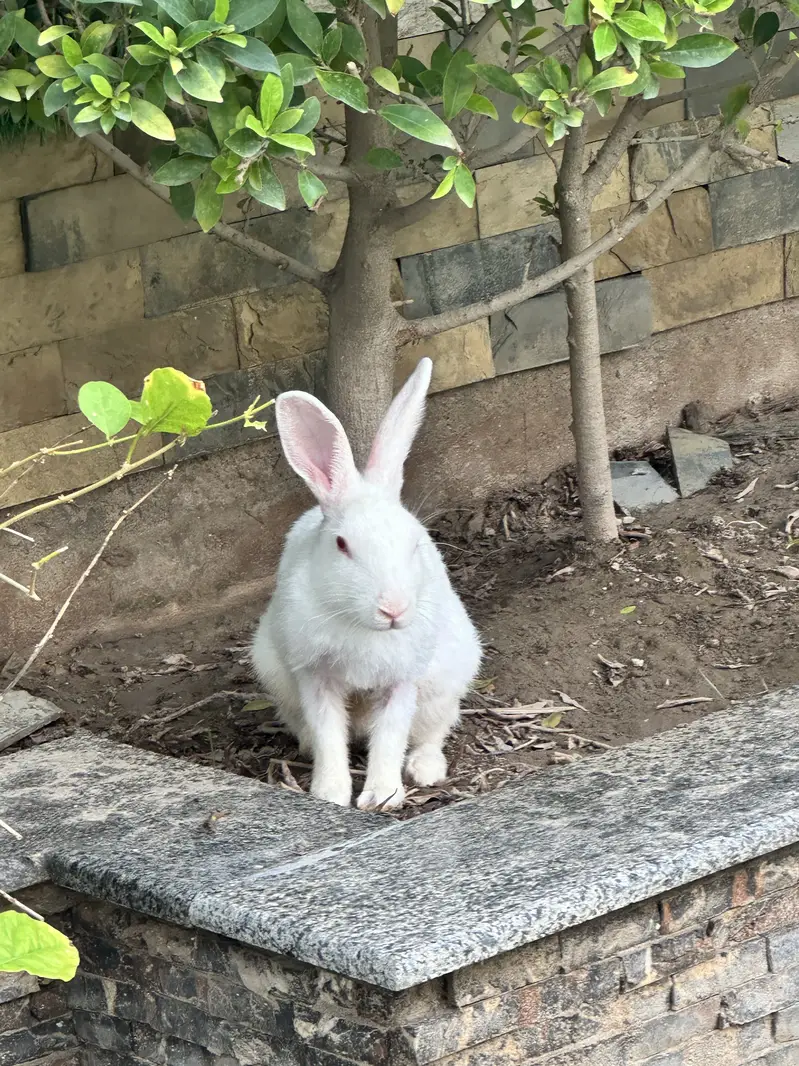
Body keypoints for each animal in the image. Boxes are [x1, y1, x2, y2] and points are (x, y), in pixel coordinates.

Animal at [251, 356, 482, 810]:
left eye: (415, 541)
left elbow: (390, 738)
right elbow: (328, 736)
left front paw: (382, 797)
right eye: (342, 545)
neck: (364, 627)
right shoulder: (314, 677)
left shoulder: (403, 681)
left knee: (433, 732)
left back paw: (425, 770)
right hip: (277, 678)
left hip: (445, 683)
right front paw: (330, 794)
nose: (393, 609)